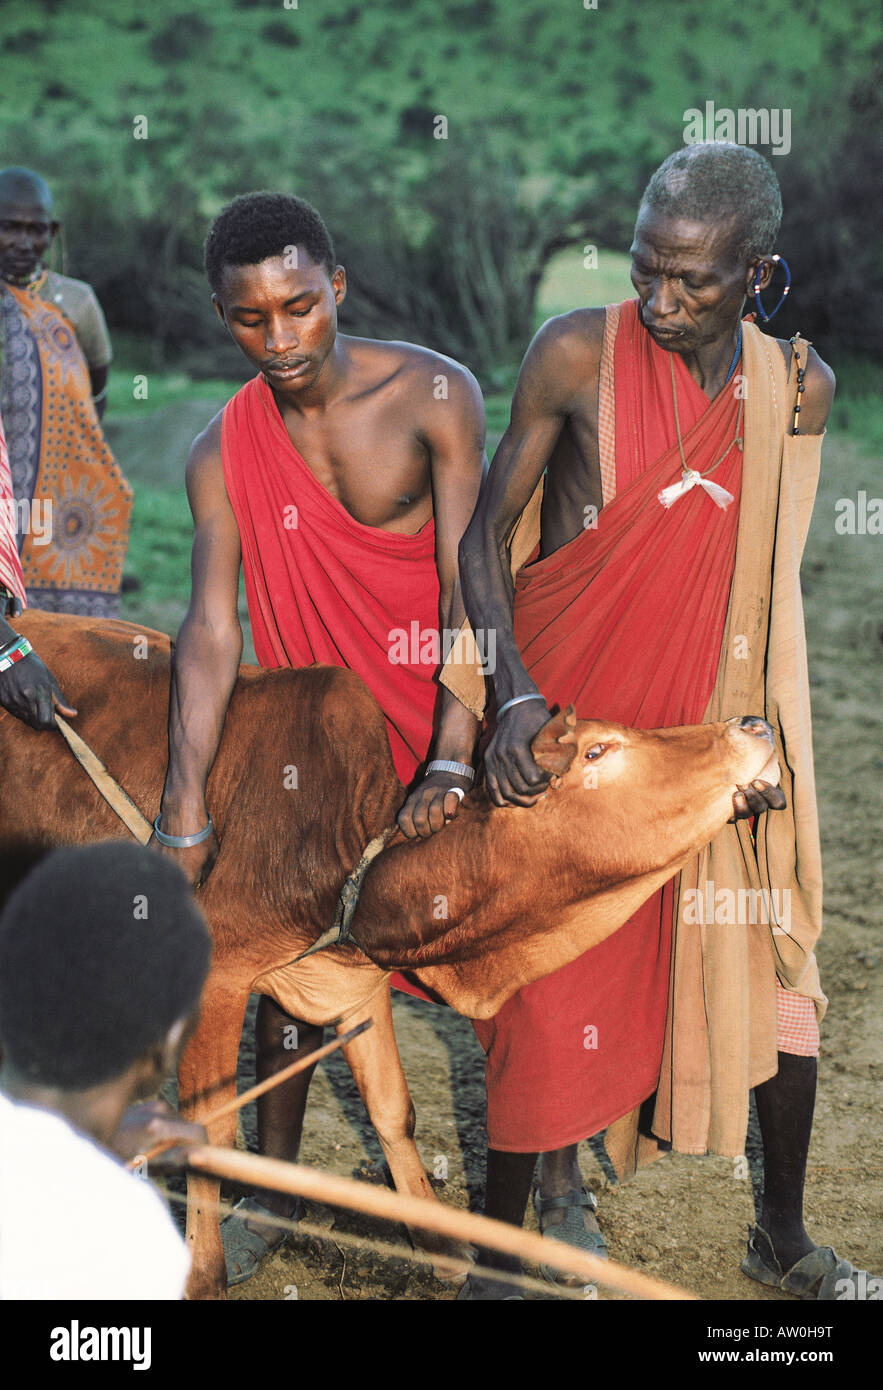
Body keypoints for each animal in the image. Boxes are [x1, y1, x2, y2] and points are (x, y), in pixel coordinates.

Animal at [0, 614, 778, 1295]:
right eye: (596, 751)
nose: (754, 724)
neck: (350, 854)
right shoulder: (218, 977)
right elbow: (210, 1131)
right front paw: (202, 1278)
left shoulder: (348, 981)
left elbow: (391, 1108)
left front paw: (444, 1250)